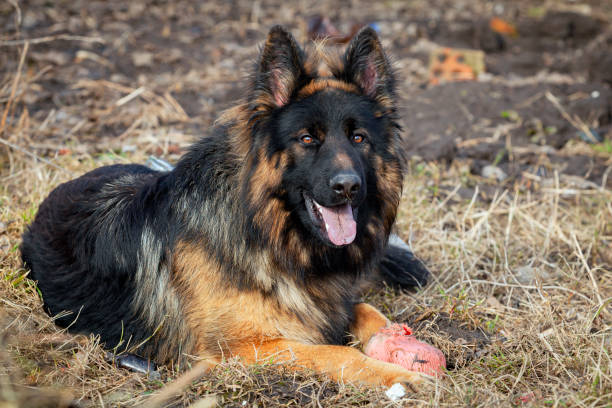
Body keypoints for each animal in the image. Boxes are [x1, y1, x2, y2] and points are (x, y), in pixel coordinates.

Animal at [20, 27, 430, 388]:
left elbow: (369, 312)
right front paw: (403, 377)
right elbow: (337, 353)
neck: (265, 233)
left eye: (358, 138)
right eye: (307, 139)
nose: (347, 187)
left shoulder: (329, 306)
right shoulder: (244, 349)